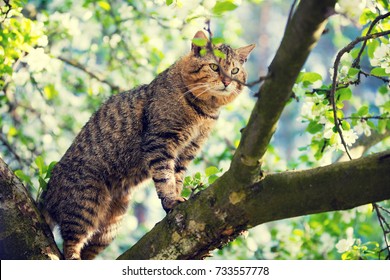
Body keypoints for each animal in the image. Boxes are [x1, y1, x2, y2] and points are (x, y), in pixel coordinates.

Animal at [38, 29, 254, 260]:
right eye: (214, 67)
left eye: (234, 70)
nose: (226, 81)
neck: (204, 111)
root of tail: (47, 193)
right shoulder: (160, 141)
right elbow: (165, 176)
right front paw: (170, 200)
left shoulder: (188, 151)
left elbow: (177, 177)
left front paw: (176, 196)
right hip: (85, 203)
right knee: (71, 244)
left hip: (109, 226)